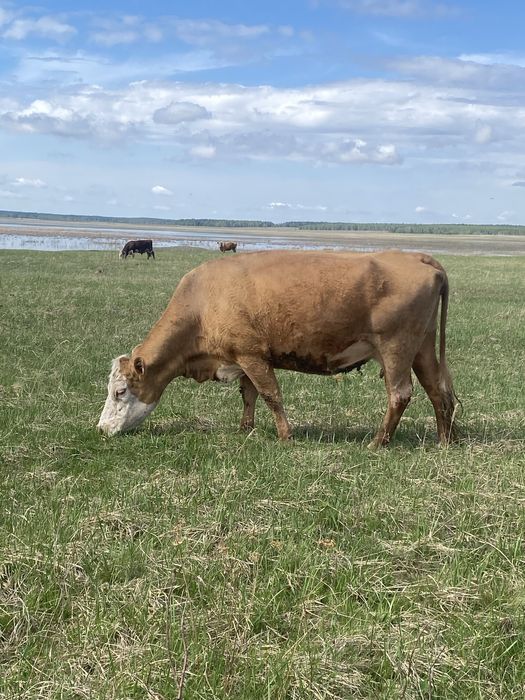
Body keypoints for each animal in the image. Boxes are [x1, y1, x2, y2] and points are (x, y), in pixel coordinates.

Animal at [98, 249, 458, 448]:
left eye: (119, 391)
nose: (100, 429)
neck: (203, 303)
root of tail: (417, 257)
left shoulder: (253, 355)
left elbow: (270, 394)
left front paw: (286, 436)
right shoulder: (242, 358)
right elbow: (248, 394)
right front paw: (245, 428)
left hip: (396, 347)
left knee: (400, 394)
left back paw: (377, 443)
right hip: (422, 348)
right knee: (436, 389)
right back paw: (444, 440)